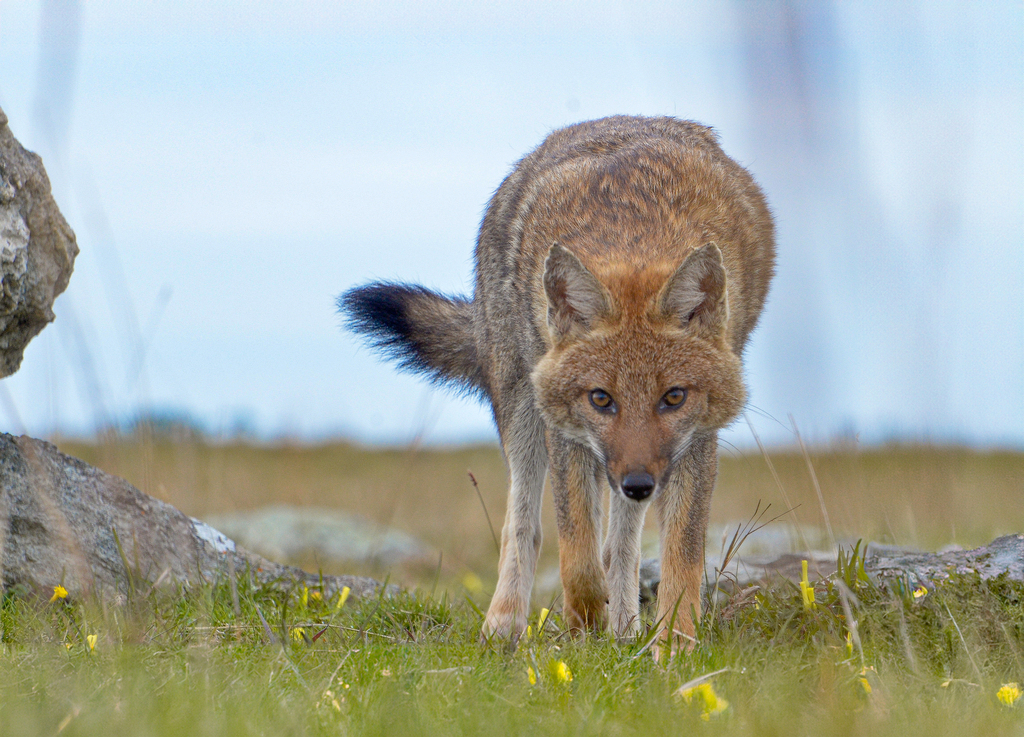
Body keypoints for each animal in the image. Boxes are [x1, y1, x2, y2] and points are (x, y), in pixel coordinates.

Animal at [340, 115, 775, 655]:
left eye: (673, 397)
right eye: (601, 398)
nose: (638, 484)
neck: (633, 230)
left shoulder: (694, 444)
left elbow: (679, 562)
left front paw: (674, 649)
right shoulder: (566, 433)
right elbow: (577, 560)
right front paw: (585, 628)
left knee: (619, 547)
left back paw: (626, 630)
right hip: (523, 412)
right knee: (523, 529)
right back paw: (504, 626)